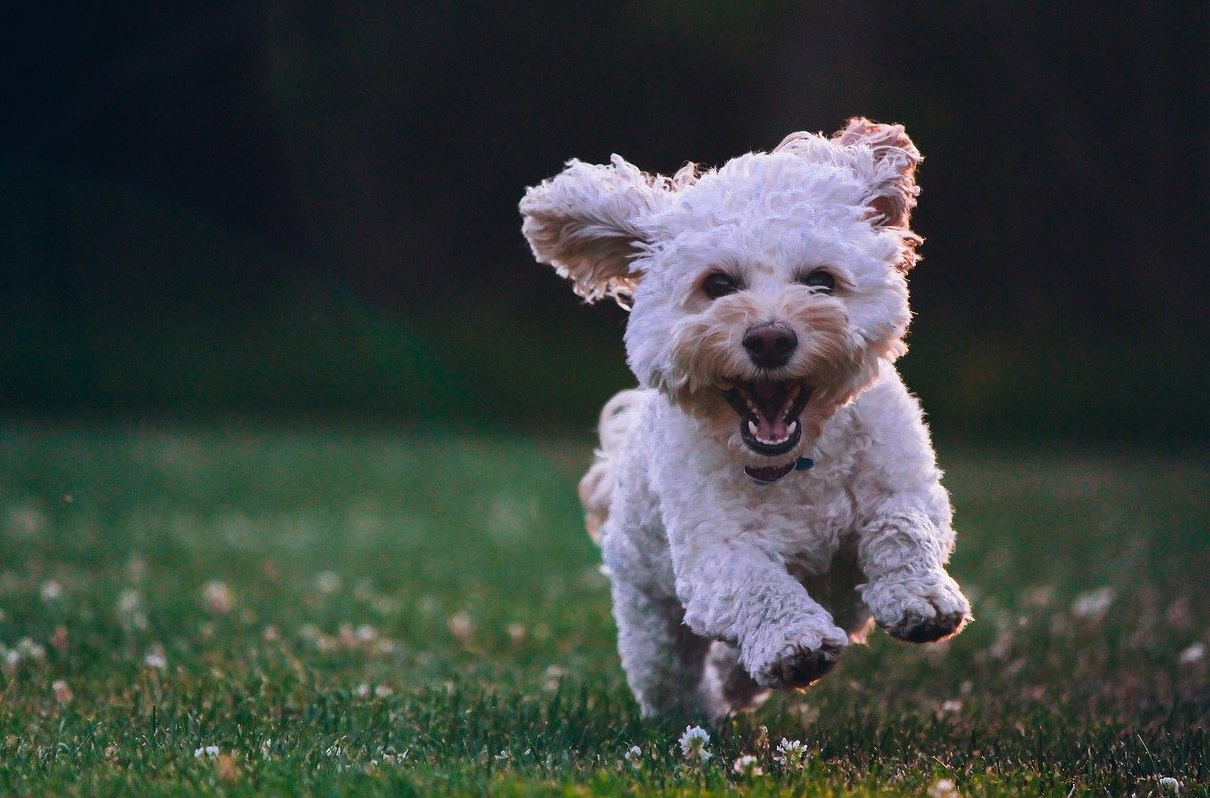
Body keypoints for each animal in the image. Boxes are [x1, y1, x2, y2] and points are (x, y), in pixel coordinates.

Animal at [520, 118, 972, 725]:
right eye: (718, 285)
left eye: (821, 281)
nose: (771, 338)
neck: (794, 464)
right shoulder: (714, 554)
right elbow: (757, 584)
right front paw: (792, 644)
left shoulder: (905, 482)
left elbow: (902, 525)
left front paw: (920, 597)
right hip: (649, 612)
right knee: (668, 672)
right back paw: (699, 711)